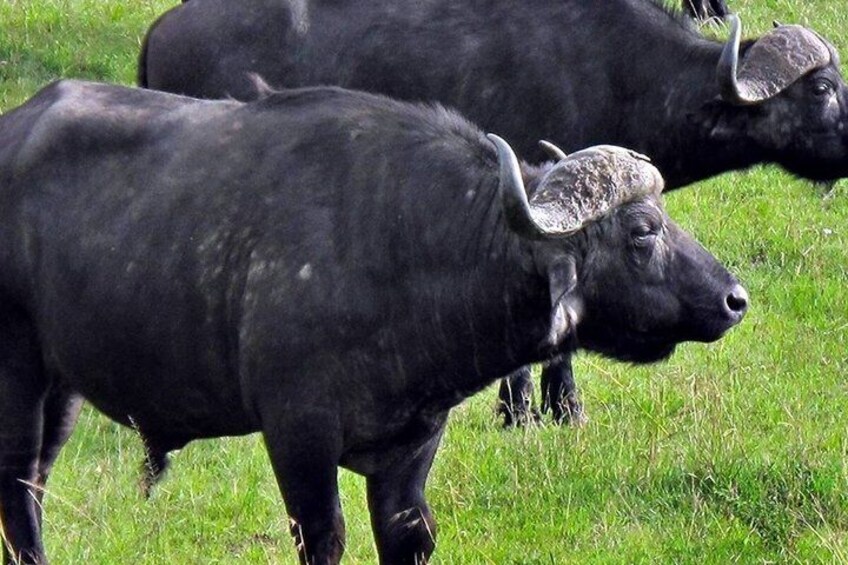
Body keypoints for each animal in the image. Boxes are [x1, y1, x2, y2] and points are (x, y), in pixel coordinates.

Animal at [0, 80, 746, 564]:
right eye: (643, 230)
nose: (734, 298)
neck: (402, 242)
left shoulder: (412, 447)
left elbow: (410, 534)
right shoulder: (297, 435)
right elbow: (323, 537)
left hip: (63, 388)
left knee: (33, 484)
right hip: (18, 377)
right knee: (17, 491)